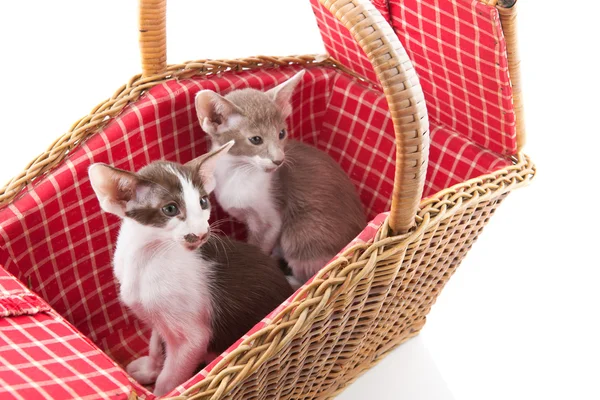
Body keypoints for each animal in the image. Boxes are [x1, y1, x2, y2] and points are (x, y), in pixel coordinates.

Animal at [88, 142, 292, 396]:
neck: (146, 258)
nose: (202, 233)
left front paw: (158, 391)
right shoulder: (156, 315)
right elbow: (156, 340)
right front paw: (150, 368)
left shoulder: (193, 339)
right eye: (170, 209)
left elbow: (170, 378)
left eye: (203, 202)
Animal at [195, 69, 368, 288]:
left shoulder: (271, 220)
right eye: (256, 139)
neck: (238, 172)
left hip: (300, 232)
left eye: (282, 133)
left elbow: (261, 244)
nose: (279, 160)